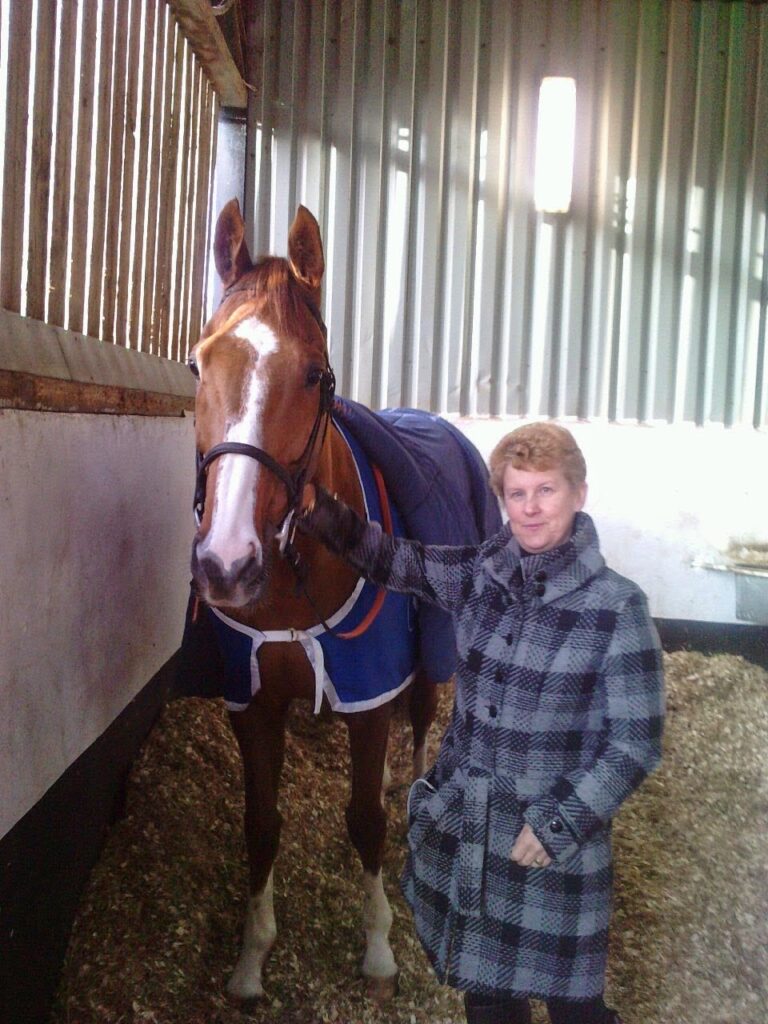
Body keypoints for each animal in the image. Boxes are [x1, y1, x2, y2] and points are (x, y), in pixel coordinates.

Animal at [187, 199, 495, 1003]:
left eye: (315, 374)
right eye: (199, 362)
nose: (226, 563)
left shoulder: (369, 685)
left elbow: (364, 820)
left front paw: (380, 948)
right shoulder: (252, 699)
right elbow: (261, 824)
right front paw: (252, 958)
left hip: (427, 663)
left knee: (419, 723)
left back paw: (411, 785)